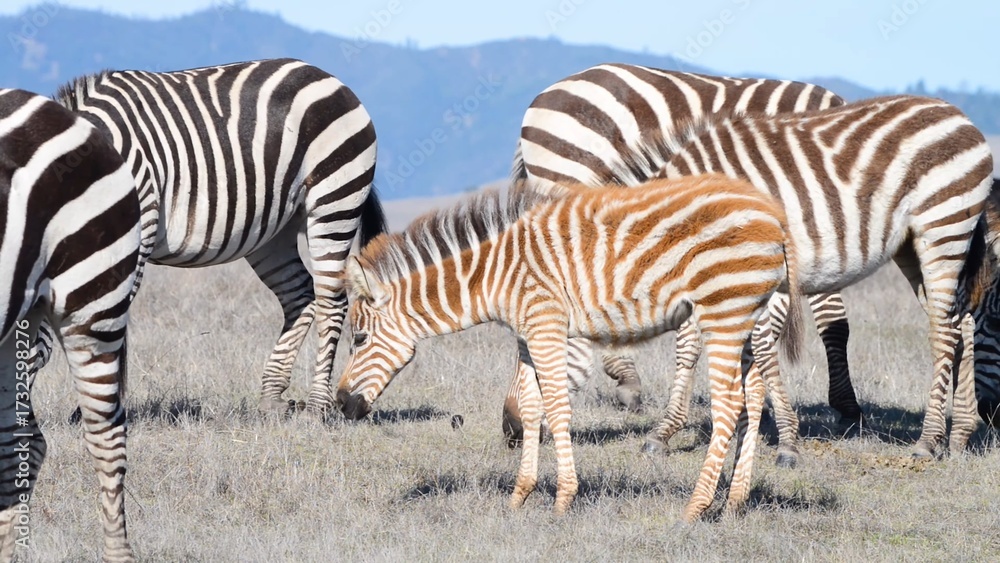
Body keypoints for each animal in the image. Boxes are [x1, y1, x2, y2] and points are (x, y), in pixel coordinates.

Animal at [37, 58, 386, 416]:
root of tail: (326, 76)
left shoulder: (134, 234)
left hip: (334, 200)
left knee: (332, 302)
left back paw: (317, 405)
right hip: (273, 232)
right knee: (299, 296)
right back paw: (271, 397)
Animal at [335, 173, 804, 521]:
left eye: (358, 339)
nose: (340, 404)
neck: (494, 276)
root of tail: (775, 214)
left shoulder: (547, 325)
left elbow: (557, 409)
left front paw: (563, 499)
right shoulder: (527, 336)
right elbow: (529, 408)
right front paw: (519, 496)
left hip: (723, 312)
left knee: (729, 402)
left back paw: (695, 507)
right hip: (747, 316)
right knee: (753, 394)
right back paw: (734, 501)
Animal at [611, 94, 992, 459]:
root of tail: (957, 114)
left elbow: (761, 349)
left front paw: (785, 441)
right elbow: (692, 346)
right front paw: (671, 431)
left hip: (943, 228)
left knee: (944, 331)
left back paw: (928, 441)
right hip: (912, 247)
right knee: (961, 322)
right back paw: (959, 435)